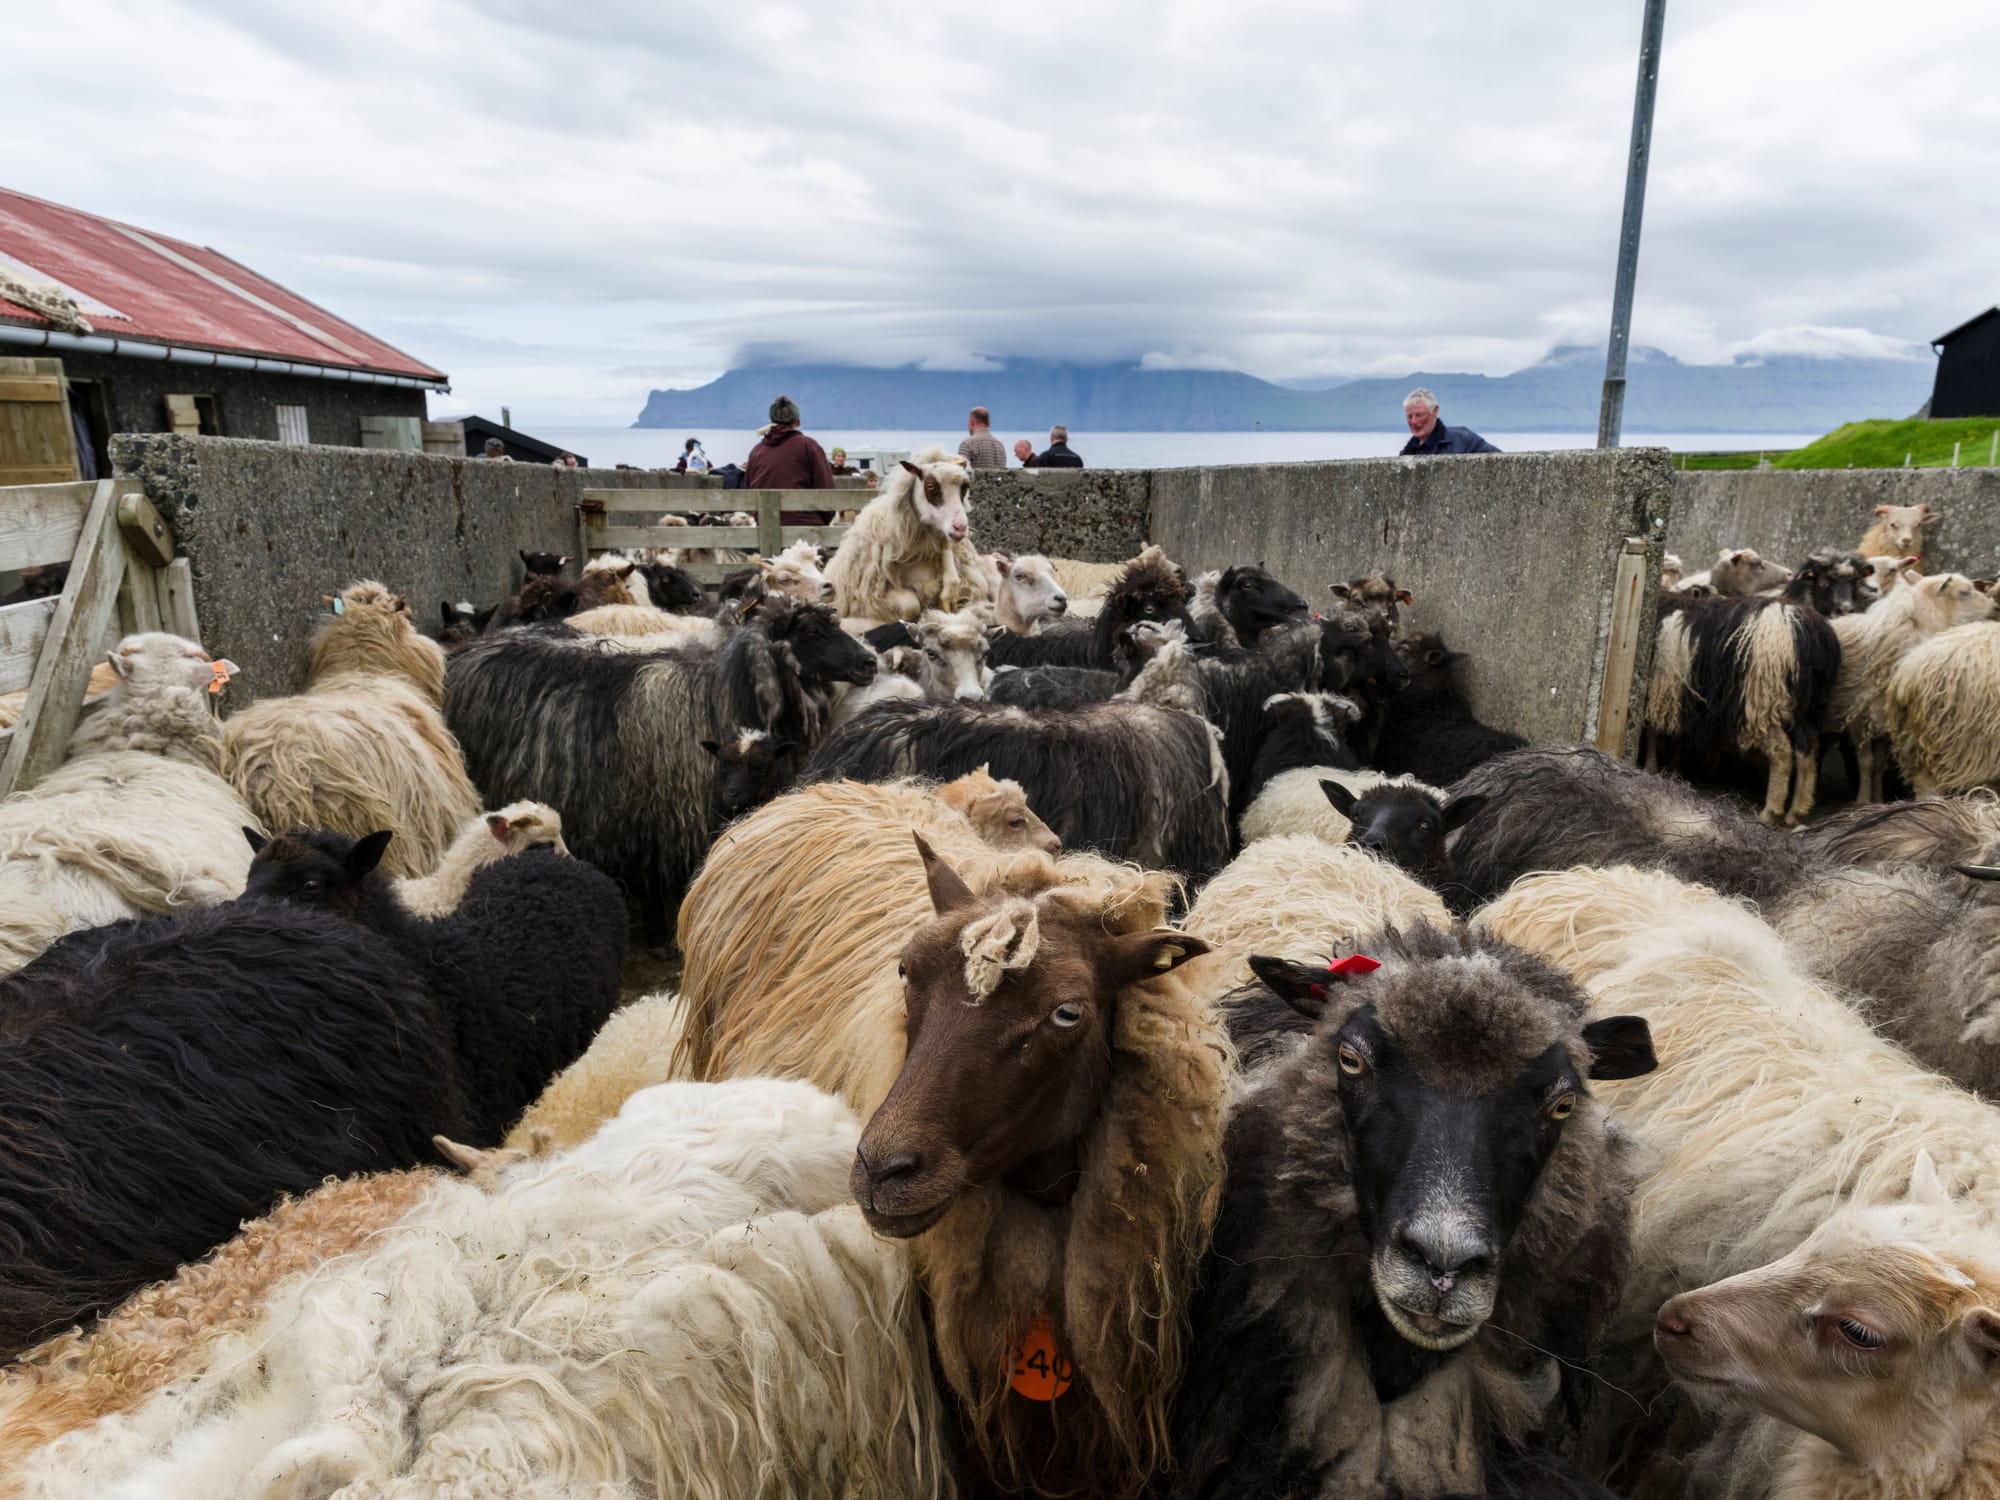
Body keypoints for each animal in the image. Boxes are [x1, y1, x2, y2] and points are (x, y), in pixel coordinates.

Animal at [445, 593, 876, 939]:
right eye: (812, 632)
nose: (870, 662)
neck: (717, 695)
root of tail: (470, 649)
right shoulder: (660, 814)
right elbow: (656, 878)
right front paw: (656, 934)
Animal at [825, 445, 993, 621]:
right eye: (931, 486)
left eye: (965, 487)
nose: (960, 527)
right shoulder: (873, 595)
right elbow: (910, 605)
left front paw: (950, 595)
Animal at [1644, 593, 1840, 824]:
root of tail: (1804, 630)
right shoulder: (1677, 696)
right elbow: (1677, 735)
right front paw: (1674, 767)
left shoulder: (1658, 691)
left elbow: (1652, 730)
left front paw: (1651, 766)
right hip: (1804, 709)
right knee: (1807, 753)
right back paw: (1796, 812)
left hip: (1761, 703)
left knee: (1782, 752)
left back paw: (1770, 811)